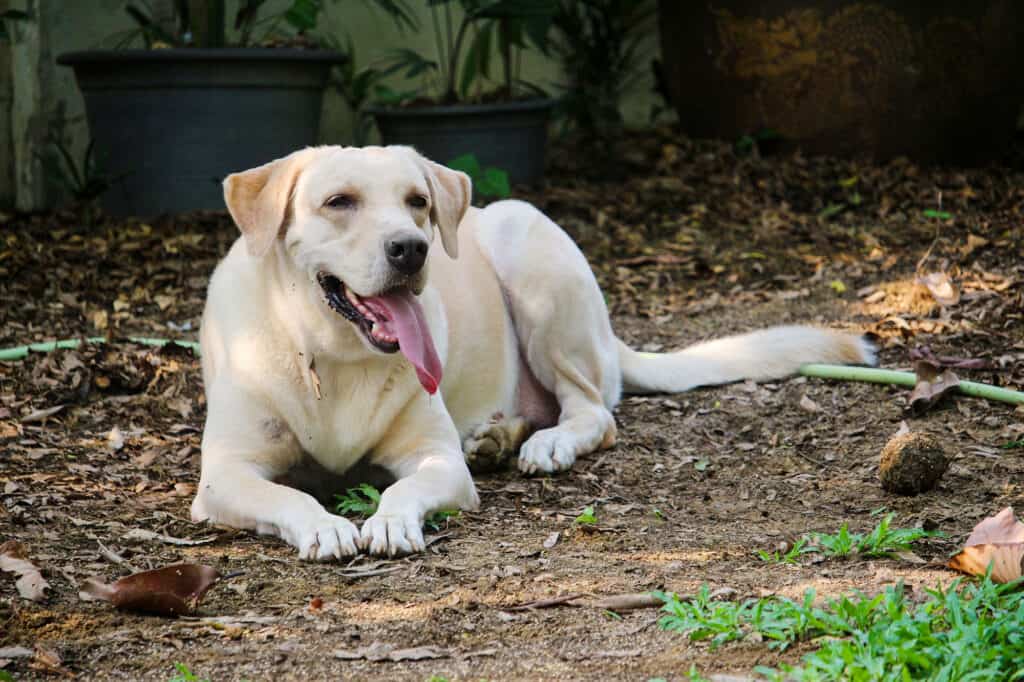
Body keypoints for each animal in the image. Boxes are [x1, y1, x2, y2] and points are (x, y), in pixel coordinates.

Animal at [190, 146, 872, 557]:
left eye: (417, 201)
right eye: (338, 203)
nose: (412, 248)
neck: (333, 357)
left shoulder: (437, 461)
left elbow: (403, 491)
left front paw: (386, 519)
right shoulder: (224, 474)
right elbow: (287, 494)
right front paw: (325, 525)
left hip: (529, 248)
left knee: (593, 410)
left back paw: (546, 443)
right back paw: (497, 436)